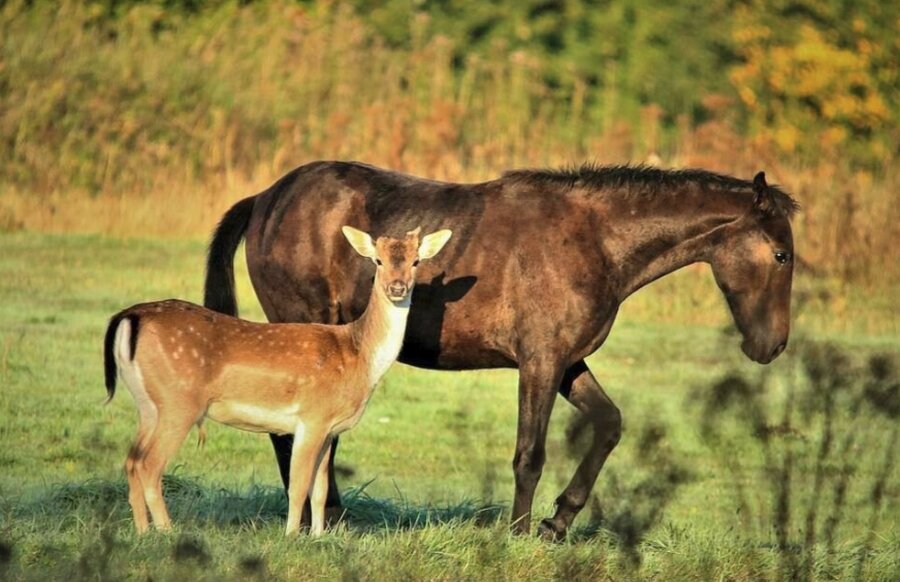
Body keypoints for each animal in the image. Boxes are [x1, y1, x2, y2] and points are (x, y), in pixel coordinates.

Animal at [103, 226, 450, 536]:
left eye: (416, 261)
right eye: (377, 260)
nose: (397, 288)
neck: (359, 357)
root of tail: (130, 316)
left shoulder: (329, 428)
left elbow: (320, 488)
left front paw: (319, 536)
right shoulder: (312, 416)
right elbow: (298, 485)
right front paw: (291, 535)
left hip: (148, 404)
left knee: (132, 461)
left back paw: (143, 532)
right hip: (179, 401)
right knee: (149, 465)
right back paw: (166, 531)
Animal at [202, 161, 796, 544]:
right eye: (781, 255)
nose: (772, 346)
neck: (596, 241)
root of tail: (267, 198)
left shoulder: (566, 363)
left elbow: (609, 424)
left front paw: (557, 523)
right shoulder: (539, 363)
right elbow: (529, 454)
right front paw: (518, 533)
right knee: (291, 433)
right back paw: (317, 517)